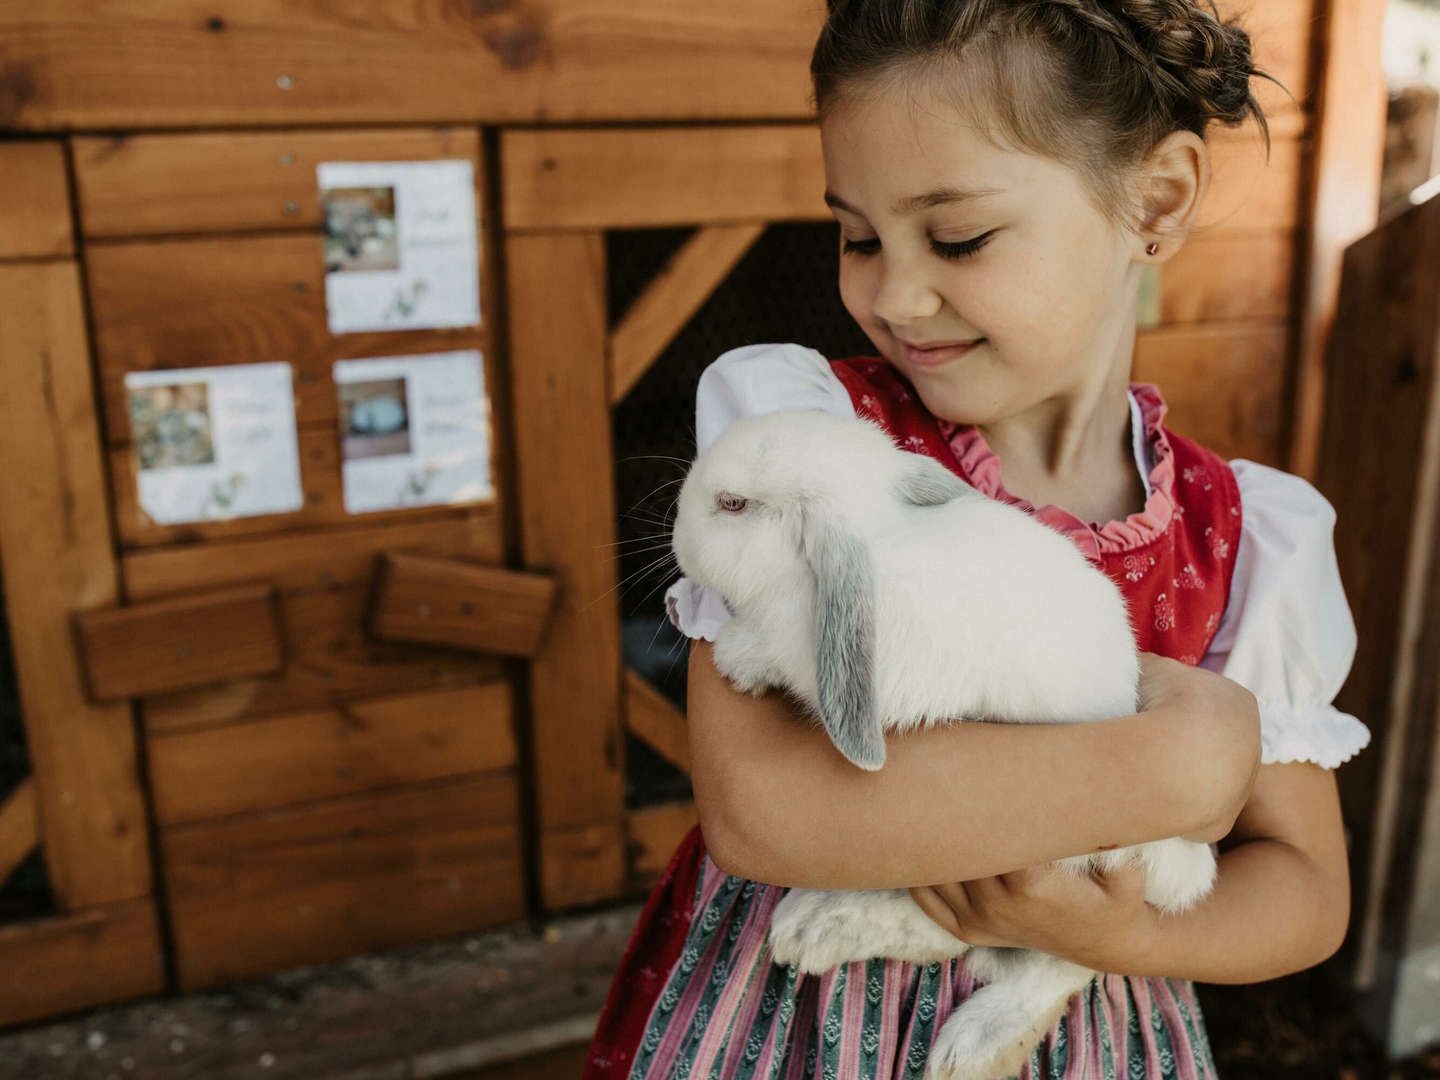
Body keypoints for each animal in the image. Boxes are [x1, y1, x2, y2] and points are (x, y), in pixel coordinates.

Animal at [668, 408, 1209, 1080]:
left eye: (732, 504)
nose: (676, 537)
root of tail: (1184, 871)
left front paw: (737, 658)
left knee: (1055, 959)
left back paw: (966, 1042)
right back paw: (814, 927)